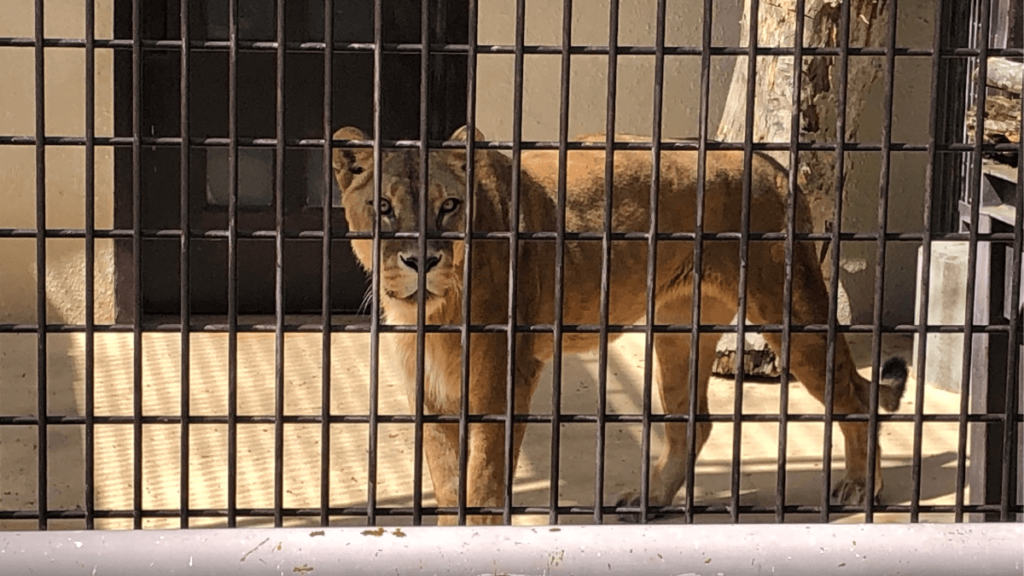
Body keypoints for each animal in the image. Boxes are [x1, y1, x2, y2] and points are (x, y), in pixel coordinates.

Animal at [331, 125, 909, 524]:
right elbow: (449, 483)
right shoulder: (429, 392)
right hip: (679, 331)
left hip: (788, 308)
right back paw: (649, 500)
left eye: (448, 205)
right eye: (382, 206)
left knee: (852, 392)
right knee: (694, 421)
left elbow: (484, 481)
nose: (421, 261)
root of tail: (775, 167)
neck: (432, 314)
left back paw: (861, 488)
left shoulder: (504, 378)